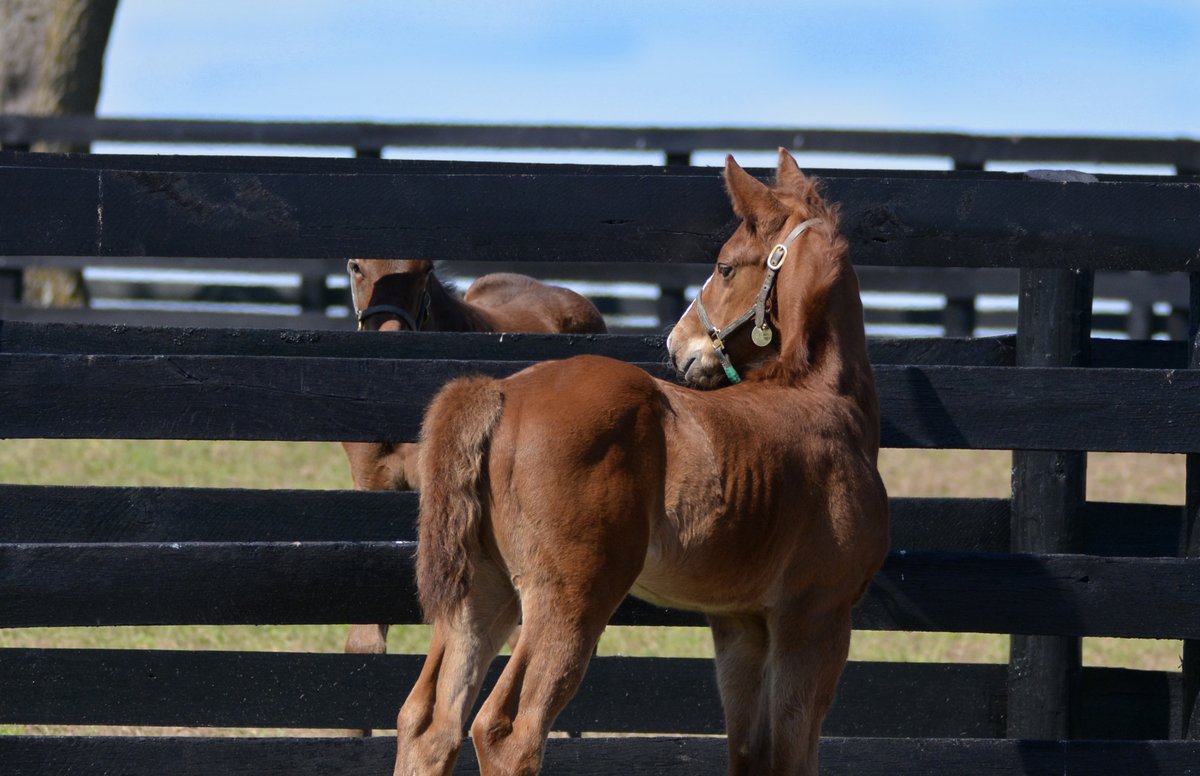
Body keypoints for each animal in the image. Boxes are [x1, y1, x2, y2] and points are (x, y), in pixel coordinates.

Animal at [396, 148, 892, 772]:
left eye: (725, 268)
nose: (678, 348)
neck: (824, 396)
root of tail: (502, 391)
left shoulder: (741, 620)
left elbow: (749, 751)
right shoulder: (816, 614)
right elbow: (790, 756)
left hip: (481, 591)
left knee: (427, 722)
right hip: (570, 596)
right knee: (507, 729)